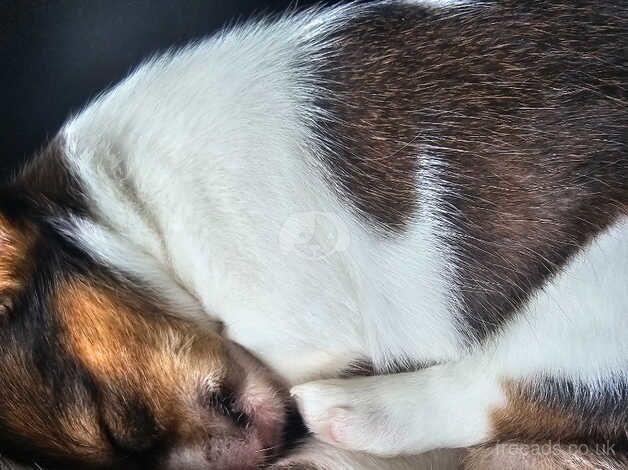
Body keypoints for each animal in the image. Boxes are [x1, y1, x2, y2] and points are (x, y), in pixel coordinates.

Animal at [1, 0, 628, 468]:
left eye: (116, 426)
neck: (124, 215)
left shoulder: (293, 330)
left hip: (593, 287)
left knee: (521, 385)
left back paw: (350, 412)